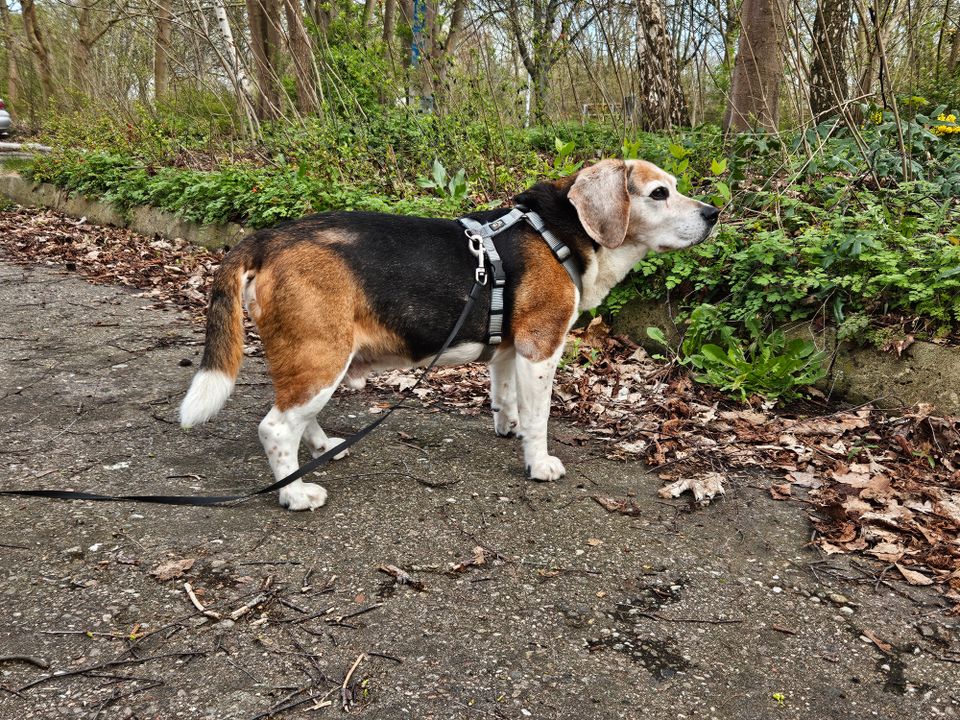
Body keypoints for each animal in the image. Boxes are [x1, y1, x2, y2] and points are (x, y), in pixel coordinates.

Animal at [180, 160, 720, 510]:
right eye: (659, 194)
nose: (713, 214)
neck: (558, 231)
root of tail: (268, 238)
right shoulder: (540, 348)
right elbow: (540, 417)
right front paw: (538, 462)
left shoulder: (508, 352)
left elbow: (506, 398)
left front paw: (509, 428)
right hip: (321, 356)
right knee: (275, 428)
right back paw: (294, 492)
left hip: (318, 360)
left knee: (297, 418)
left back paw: (321, 448)